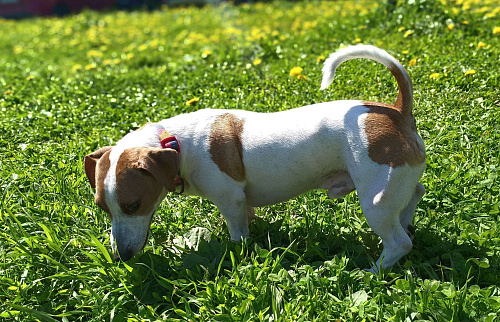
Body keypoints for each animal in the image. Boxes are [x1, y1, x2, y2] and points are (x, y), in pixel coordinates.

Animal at [84, 44, 424, 272]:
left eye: (133, 205)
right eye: (102, 207)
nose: (121, 257)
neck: (176, 143)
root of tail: (396, 110)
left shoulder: (230, 199)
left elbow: (237, 235)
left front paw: (235, 252)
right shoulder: (242, 202)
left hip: (375, 200)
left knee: (399, 243)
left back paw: (373, 271)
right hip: (394, 185)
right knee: (414, 194)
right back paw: (406, 220)